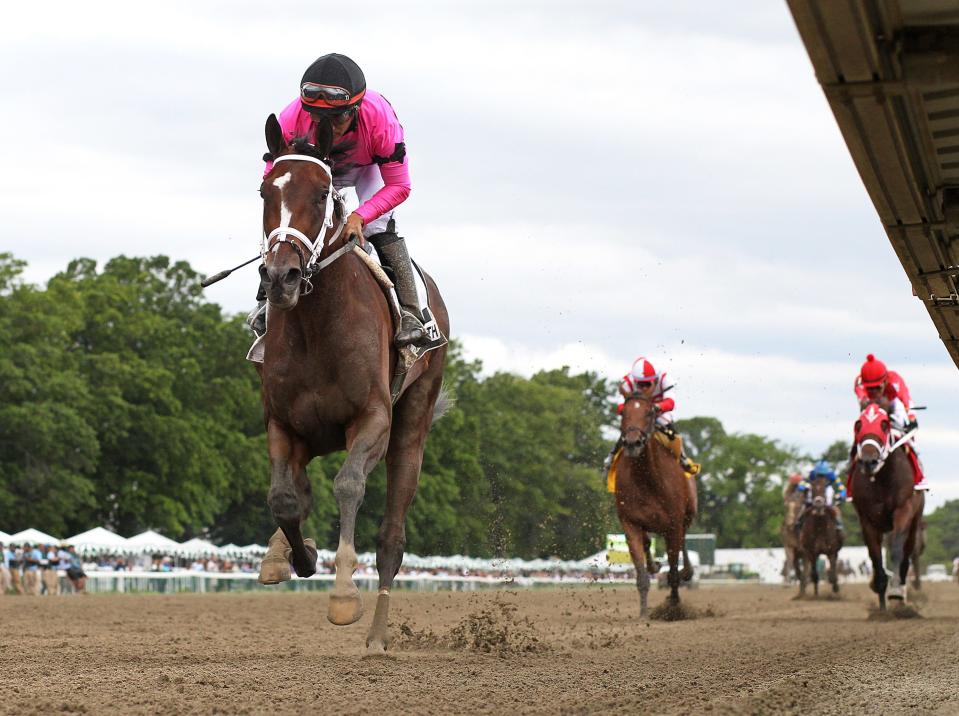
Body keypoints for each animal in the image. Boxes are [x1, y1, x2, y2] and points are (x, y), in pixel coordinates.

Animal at [255, 113, 450, 656]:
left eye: (323, 193)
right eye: (265, 190)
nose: (280, 277)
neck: (316, 325)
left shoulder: (372, 419)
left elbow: (347, 485)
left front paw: (343, 593)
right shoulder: (283, 422)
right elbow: (284, 498)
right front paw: (296, 556)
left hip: (412, 423)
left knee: (392, 538)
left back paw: (377, 636)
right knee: (297, 488)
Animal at [616, 392, 696, 616]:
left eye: (649, 412)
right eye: (623, 412)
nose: (632, 443)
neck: (647, 479)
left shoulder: (674, 523)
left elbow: (674, 571)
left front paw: (674, 607)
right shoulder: (630, 522)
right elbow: (641, 572)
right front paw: (644, 612)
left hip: (687, 514)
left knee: (682, 542)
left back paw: (686, 572)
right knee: (647, 543)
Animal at [852, 402, 928, 608]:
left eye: (884, 424)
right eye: (858, 425)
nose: (869, 461)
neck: (882, 480)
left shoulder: (903, 510)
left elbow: (896, 550)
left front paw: (895, 591)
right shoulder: (867, 518)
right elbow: (875, 555)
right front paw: (880, 594)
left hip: (915, 522)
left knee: (908, 552)